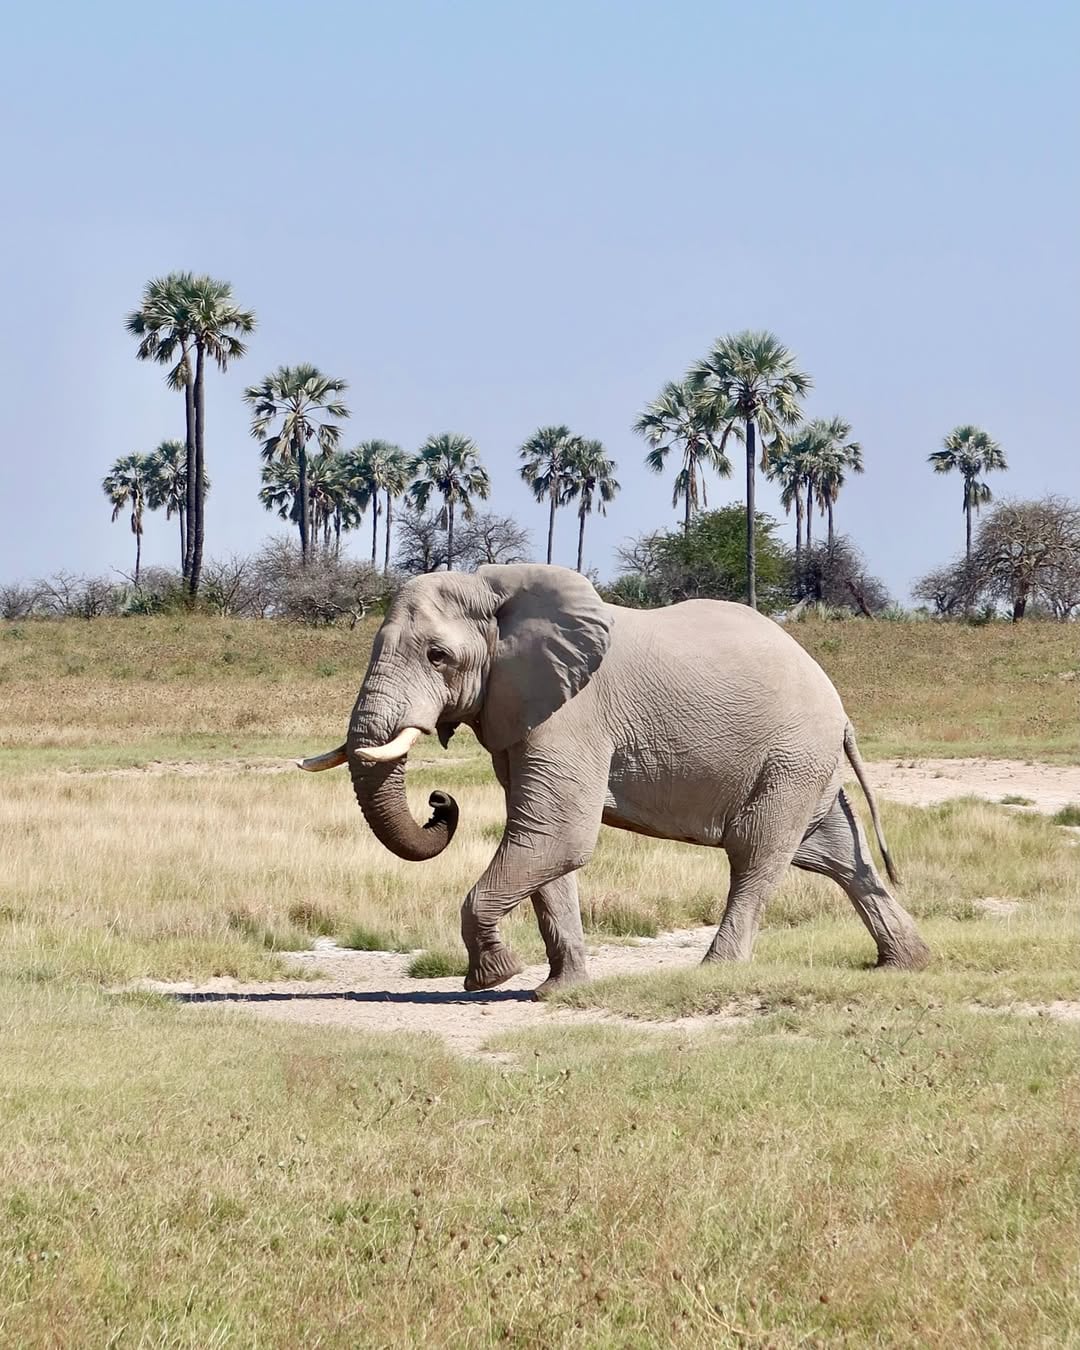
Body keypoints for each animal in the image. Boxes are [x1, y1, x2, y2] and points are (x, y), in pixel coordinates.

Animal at [300, 564, 930, 995]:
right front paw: (558, 991)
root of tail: (840, 708)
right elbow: (544, 844)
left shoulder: (573, 713)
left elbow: (557, 834)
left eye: (437, 656)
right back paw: (907, 963)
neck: (496, 587)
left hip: (791, 757)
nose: (439, 801)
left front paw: (492, 978)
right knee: (834, 855)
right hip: (804, 765)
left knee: (758, 852)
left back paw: (713, 973)